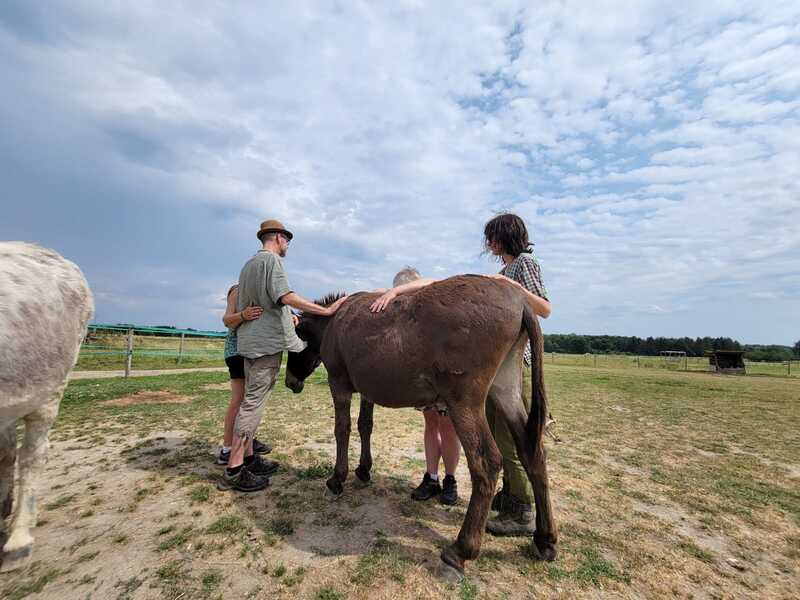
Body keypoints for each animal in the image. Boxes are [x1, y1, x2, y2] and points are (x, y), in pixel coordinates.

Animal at [286, 276, 556, 576]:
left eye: (291, 346)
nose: (289, 383)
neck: (335, 321)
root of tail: (520, 300)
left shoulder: (339, 383)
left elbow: (342, 430)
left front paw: (337, 479)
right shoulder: (367, 390)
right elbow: (365, 426)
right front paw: (364, 470)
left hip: (464, 403)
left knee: (486, 463)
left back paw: (461, 551)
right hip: (505, 390)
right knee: (533, 454)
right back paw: (544, 540)